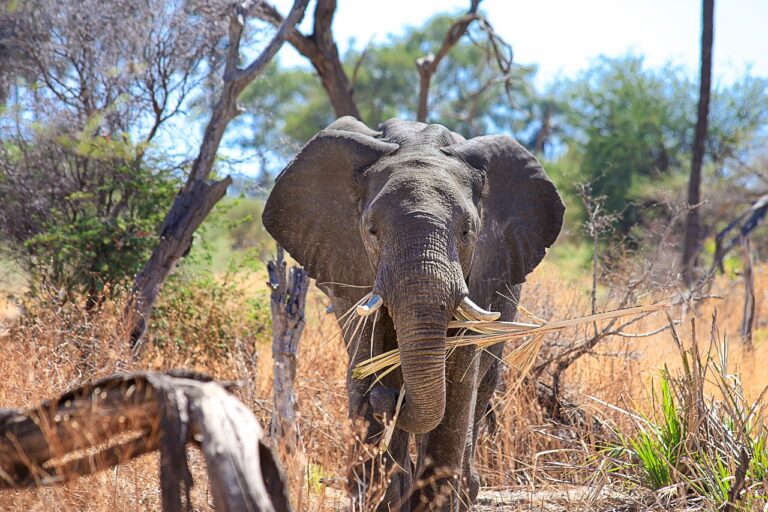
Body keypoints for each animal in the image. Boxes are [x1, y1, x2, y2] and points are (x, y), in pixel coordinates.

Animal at [262, 116, 564, 511]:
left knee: (482, 387)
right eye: (372, 231)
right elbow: (367, 360)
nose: (391, 400)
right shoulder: (354, 269)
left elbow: (458, 382)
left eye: (467, 232)